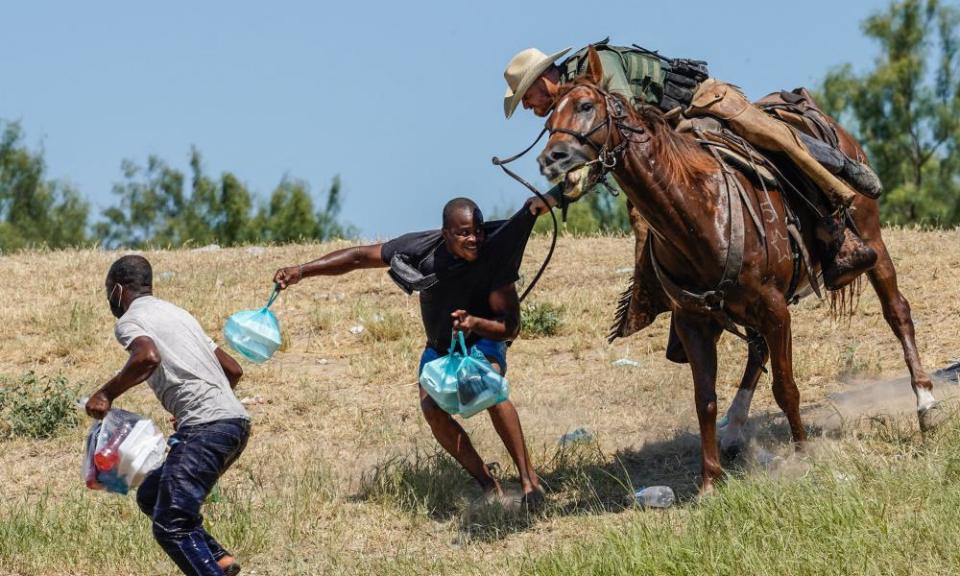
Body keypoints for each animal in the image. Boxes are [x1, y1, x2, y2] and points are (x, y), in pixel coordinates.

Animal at [540, 47, 944, 492]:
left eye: (585, 106)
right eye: (548, 119)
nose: (551, 159)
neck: (697, 209)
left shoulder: (774, 308)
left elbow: (786, 388)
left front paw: (803, 455)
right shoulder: (695, 321)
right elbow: (705, 400)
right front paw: (709, 481)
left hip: (872, 240)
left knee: (897, 312)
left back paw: (925, 403)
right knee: (757, 350)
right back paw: (734, 429)